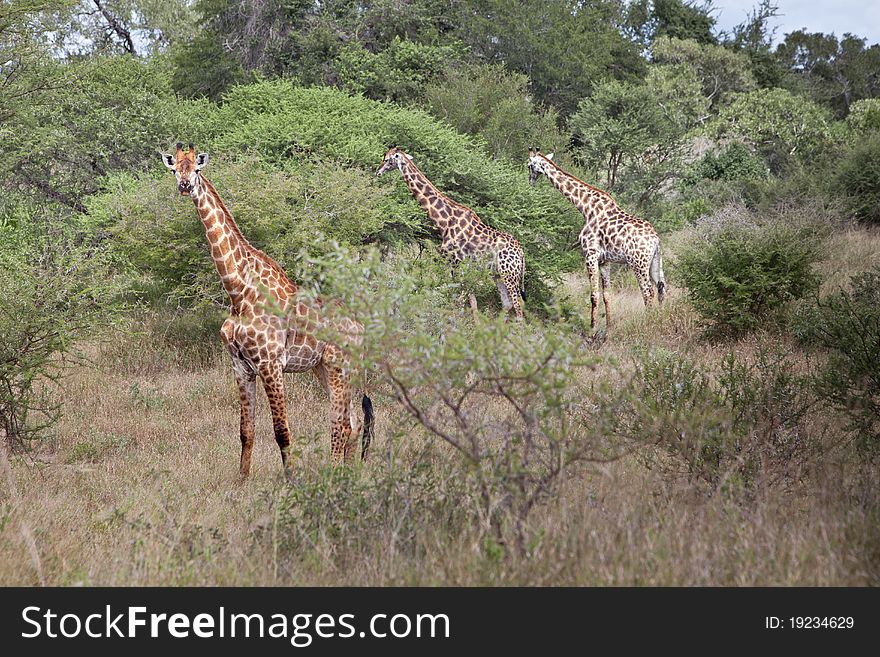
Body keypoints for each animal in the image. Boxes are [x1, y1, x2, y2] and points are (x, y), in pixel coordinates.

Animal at [162, 144, 374, 476]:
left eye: (196, 169)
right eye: (174, 170)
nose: (184, 186)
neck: (238, 291)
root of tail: (361, 327)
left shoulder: (270, 364)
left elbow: (281, 430)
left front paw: (290, 478)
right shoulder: (240, 366)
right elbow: (245, 431)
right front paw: (242, 480)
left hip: (340, 365)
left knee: (341, 424)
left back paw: (335, 473)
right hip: (324, 368)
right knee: (351, 422)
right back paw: (346, 472)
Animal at [376, 145, 524, 318]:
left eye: (387, 159)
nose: (378, 171)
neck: (445, 222)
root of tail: (521, 254)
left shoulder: (456, 260)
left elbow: (459, 299)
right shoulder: (456, 263)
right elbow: (470, 300)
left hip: (510, 275)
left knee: (518, 309)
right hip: (497, 274)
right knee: (507, 305)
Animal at [524, 151, 664, 330]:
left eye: (530, 165)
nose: (530, 181)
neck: (586, 208)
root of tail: (655, 239)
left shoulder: (590, 254)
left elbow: (593, 295)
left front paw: (593, 329)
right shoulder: (605, 261)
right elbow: (607, 295)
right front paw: (608, 330)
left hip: (638, 264)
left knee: (648, 292)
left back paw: (648, 323)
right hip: (655, 262)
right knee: (661, 289)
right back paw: (659, 320)